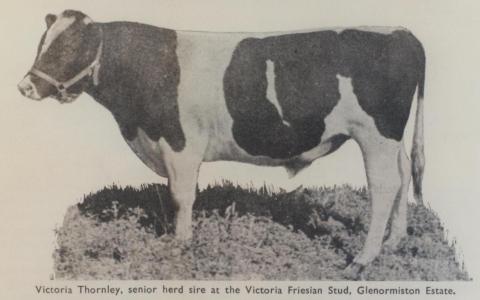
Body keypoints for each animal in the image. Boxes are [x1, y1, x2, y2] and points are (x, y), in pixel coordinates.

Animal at [16, 10, 426, 274]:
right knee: (405, 173)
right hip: (392, 138)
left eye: (67, 48)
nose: (25, 86)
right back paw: (394, 241)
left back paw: (363, 259)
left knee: (384, 186)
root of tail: (402, 32)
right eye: (42, 44)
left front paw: (180, 244)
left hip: (375, 134)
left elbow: (181, 196)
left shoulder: (180, 143)